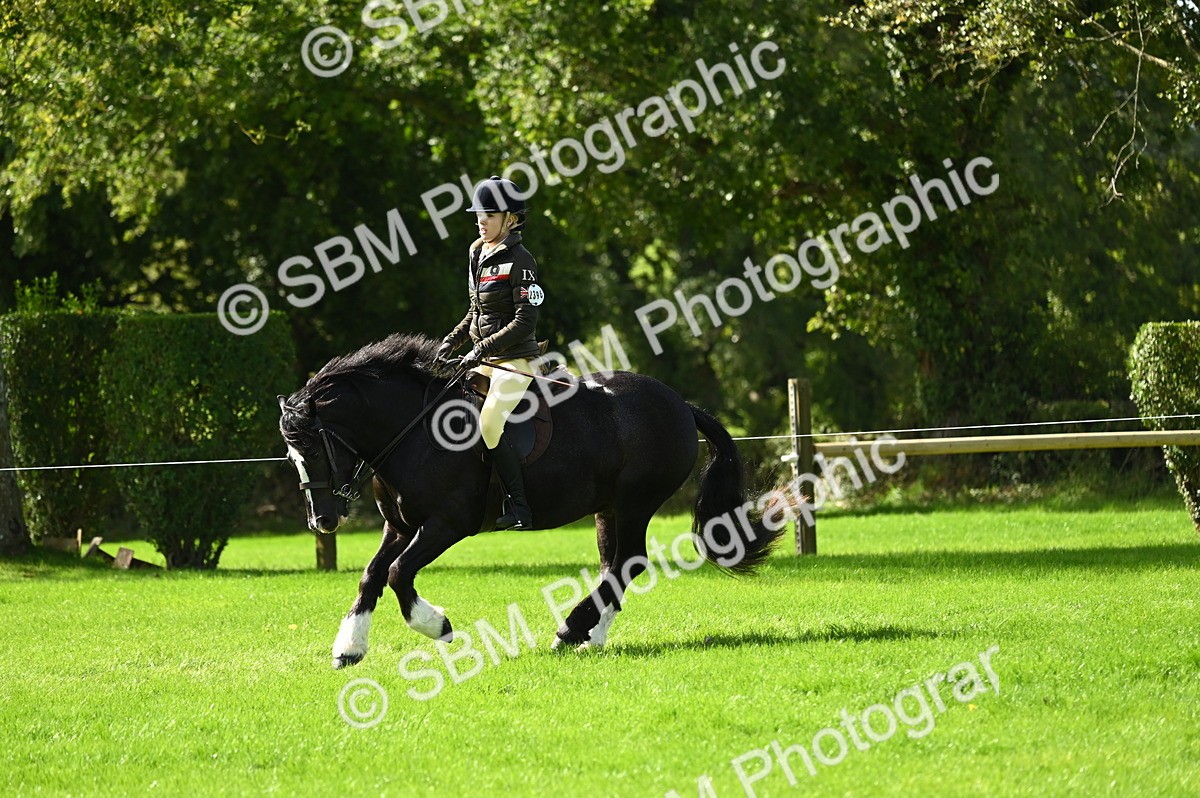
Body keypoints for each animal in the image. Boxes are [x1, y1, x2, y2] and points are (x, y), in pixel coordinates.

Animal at [278, 332, 782, 668]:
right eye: (291, 454)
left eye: (315, 450)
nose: (322, 521)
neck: (414, 431)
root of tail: (681, 405)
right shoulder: (399, 526)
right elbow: (372, 576)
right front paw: (349, 648)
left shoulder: (446, 525)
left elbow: (400, 573)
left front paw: (439, 627)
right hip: (608, 509)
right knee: (615, 564)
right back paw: (588, 636)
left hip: (636, 503)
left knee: (629, 562)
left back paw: (570, 630)